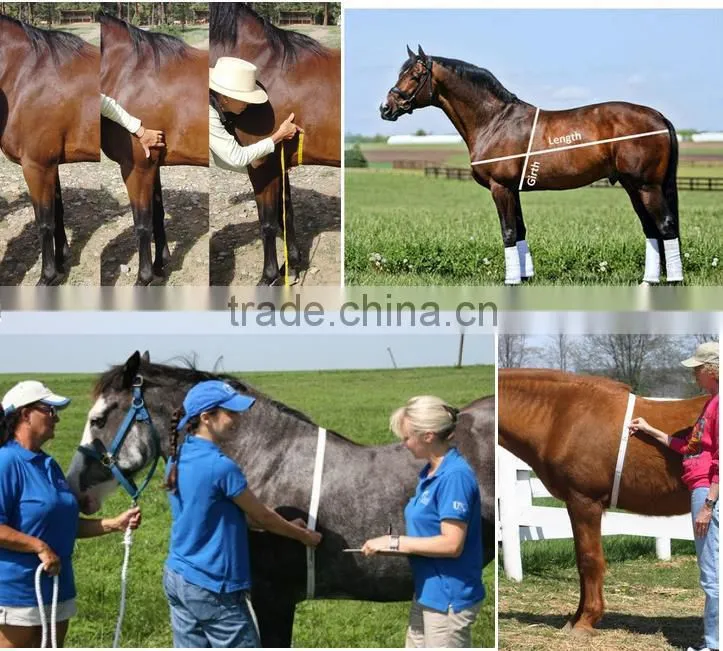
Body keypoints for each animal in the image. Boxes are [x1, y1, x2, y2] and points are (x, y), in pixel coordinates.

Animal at [0, 14, 99, 285]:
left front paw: (47, 276)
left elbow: (44, 221)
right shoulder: (51, 164)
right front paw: (62, 260)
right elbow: (57, 213)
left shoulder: (36, 166)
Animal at [99, 13, 208, 286]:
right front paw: (160, 265)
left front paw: (144, 277)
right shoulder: (153, 164)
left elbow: (142, 223)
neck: (129, 72)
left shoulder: (137, 168)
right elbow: (157, 214)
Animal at [210, 3, 340, 285]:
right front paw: (291, 266)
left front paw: (268, 276)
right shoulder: (279, 160)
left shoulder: (262, 164)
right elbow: (286, 212)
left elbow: (268, 222)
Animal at [381, 46, 682, 286]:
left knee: (666, 226)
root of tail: (659, 116)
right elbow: (520, 230)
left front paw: (511, 281)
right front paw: (525, 277)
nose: (386, 108)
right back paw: (649, 280)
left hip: (647, 186)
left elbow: (508, 232)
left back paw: (674, 281)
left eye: (415, 76)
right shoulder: (513, 190)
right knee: (651, 228)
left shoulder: (500, 188)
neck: (494, 121)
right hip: (633, 187)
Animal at [498, 368, 708, 635]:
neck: (561, 415)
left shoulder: (585, 502)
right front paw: (575, 619)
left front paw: (586, 620)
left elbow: (590, 560)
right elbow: (581, 561)